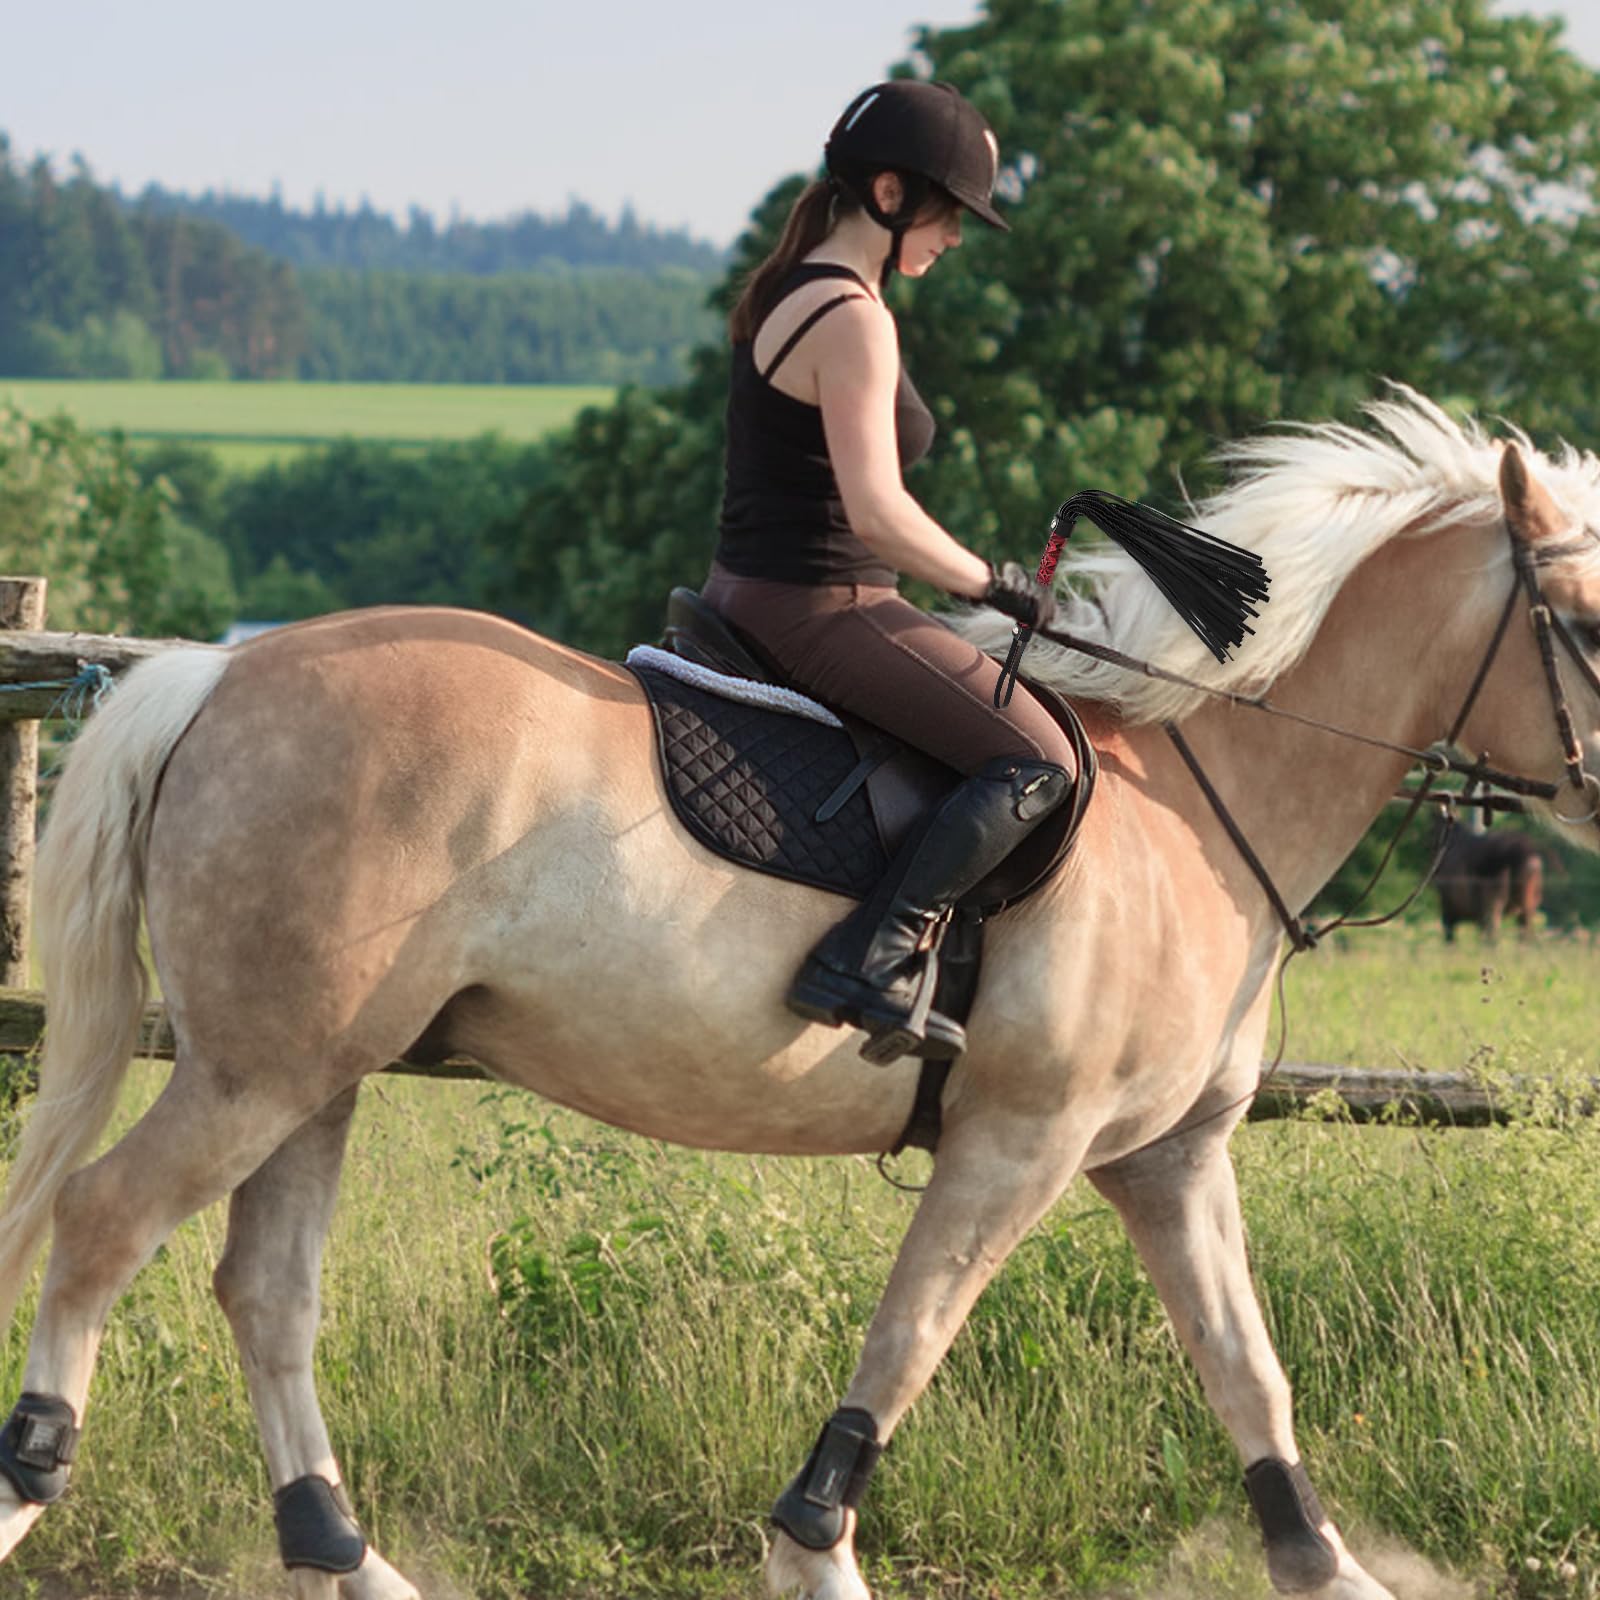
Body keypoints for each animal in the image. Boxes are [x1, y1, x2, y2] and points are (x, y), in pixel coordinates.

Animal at [0, 387, 1596, 1600]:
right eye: (1582, 622)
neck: (1195, 800)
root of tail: (219, 675)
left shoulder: (1169, 1159)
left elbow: (1248, 1379)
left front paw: (1332, 1570)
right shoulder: (1020, 1141)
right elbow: (912, 1335)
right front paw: (814, 1555)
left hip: (313, 1072)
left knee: (264, 1291)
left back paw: (346, 1556)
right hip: (256, 1069)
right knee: (102, 1223)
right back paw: (32, 1485)